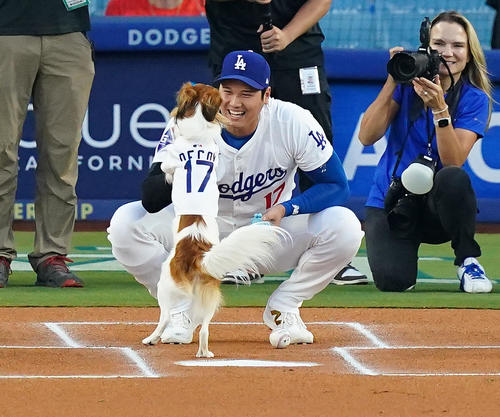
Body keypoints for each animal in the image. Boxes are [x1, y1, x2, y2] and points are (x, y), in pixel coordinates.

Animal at [142, 82, 289, 357]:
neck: (198, 133)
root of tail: (197, 254)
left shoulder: (170, 161)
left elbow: (167, 168)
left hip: (165, 285)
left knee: (165, 316)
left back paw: (153, 338)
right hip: (209, 294)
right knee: (205, 328)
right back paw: (204, 352)